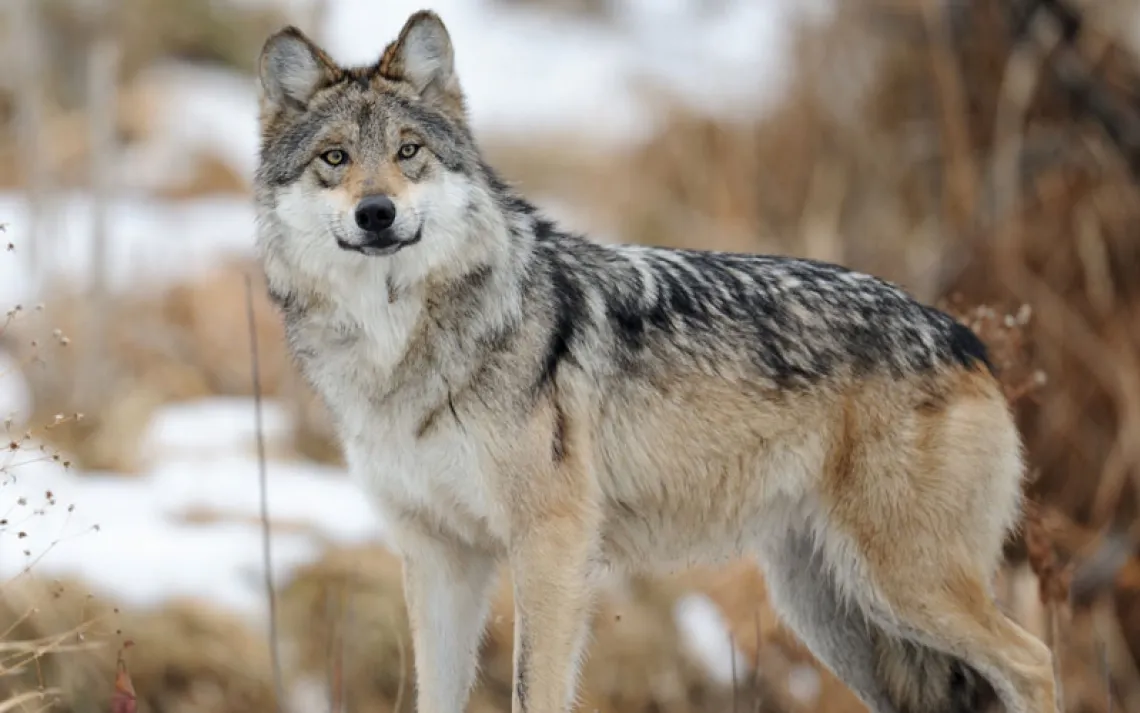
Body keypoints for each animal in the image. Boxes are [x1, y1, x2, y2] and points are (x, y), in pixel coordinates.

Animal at [253, 10, 1058, 713]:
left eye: (409, 151)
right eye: (335, 159)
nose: (377, 213)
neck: (398, 351)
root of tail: (968, 341)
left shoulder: (551, 544)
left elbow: (533, 690)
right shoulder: (437, 556)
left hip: (903, 585)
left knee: (1036, 661)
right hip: (836, 613)